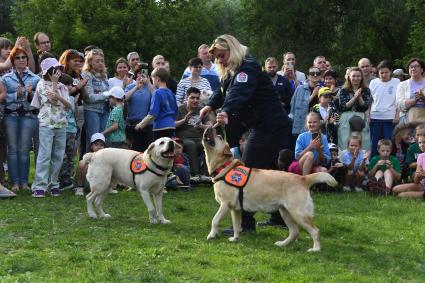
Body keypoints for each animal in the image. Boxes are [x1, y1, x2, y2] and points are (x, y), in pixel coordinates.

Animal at [203, 127, 338, 253]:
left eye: (219, 137)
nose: (210, 127)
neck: (224, 167)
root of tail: (303, 178)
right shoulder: (235, 209)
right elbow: (236, 226)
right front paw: (235, 239)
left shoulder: (225, 204)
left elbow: (215, 220)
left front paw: (211, 235)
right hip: (285, 212)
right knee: (295, 232)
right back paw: (283, 244)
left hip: (299, 213)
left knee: (315, 231)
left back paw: (315, 249)